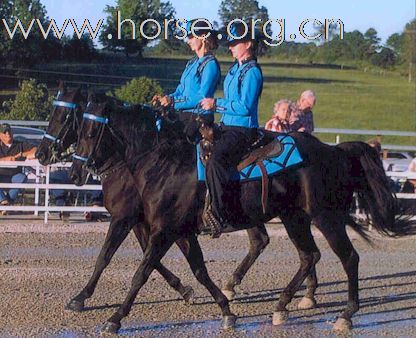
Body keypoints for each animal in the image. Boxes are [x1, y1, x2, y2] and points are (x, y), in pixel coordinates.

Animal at [70, 97, 414, 332]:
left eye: (89, 131)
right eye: (78, 127)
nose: (76, 171)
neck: (164, 163)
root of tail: (334, 151)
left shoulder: (163, 230)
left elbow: (141, 271)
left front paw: (114, 318)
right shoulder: (179, 230)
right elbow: (198, 270)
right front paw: (226, 311)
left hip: (325, 217)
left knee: (348, 258)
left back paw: (345, 315)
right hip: (295, 218)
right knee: (308, 256)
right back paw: (281, 306)